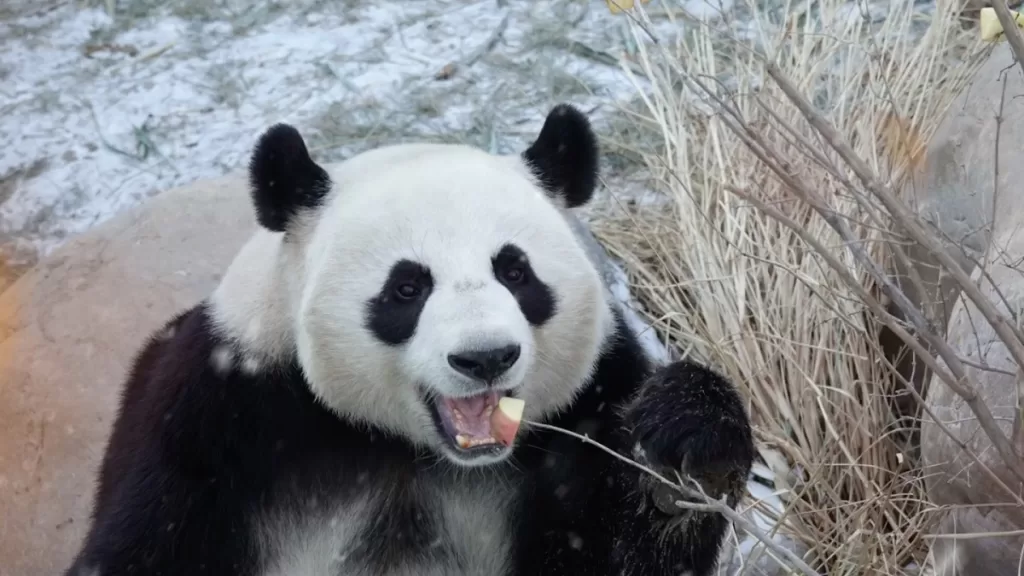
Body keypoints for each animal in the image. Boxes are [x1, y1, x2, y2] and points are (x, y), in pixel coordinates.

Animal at [65, 103, 755, 576]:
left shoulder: (588, 406)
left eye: (515, 271)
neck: (410, 449)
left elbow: (613, 547)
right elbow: (146, 548)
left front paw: (680, 452)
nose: (485, 357)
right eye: (406, 288)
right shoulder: (219, 420)